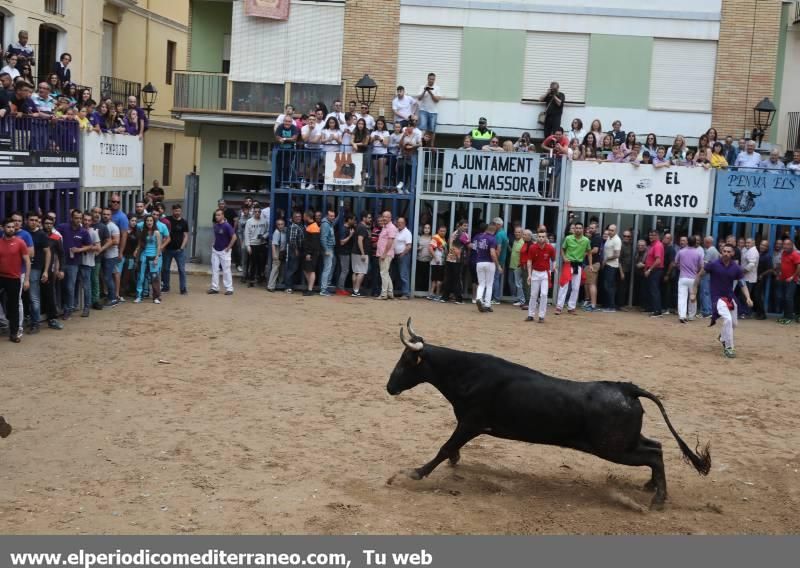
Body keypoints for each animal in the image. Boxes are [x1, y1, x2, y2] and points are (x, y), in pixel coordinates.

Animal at [388, 320, 712, 510]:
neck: (468, 373)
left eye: (405, 361)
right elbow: (451, 448)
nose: (389, 386)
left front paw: (413, 473)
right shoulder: (468, 425)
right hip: (625, 442)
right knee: (656, 447)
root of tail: (627, 388)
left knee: (654, 454)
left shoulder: (471, 423)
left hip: (614, 447)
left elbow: (445, 447)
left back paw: (658, 499)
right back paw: (651, 486)